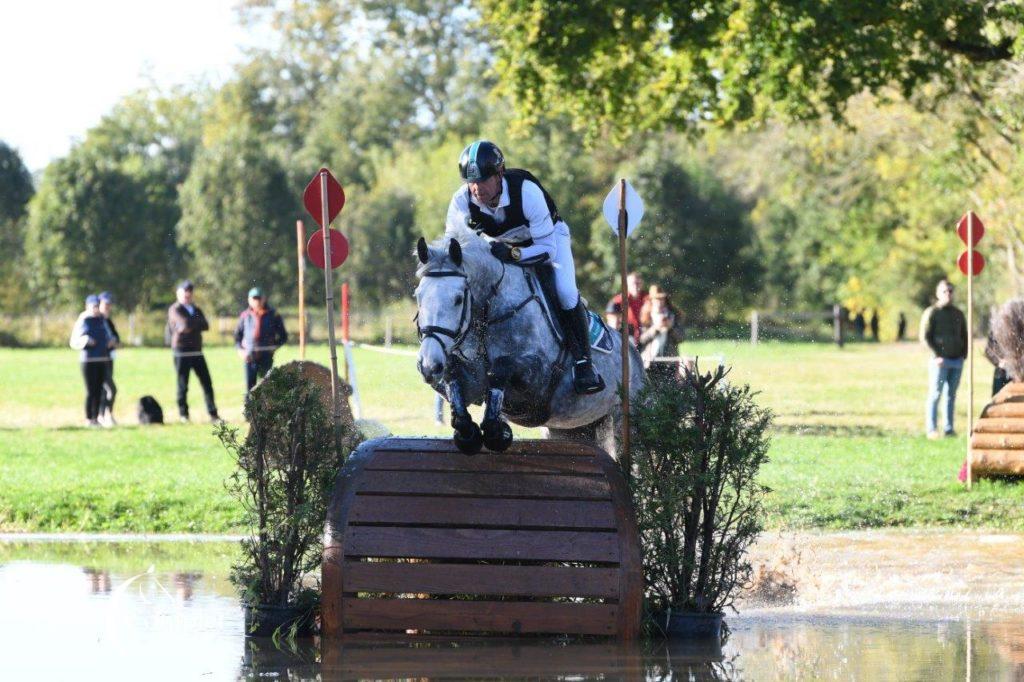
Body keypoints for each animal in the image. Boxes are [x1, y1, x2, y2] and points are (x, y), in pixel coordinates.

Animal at [413, 228, 638, 456]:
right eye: (418, 296)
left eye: (458, 299)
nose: (429, 365)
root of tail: (631, 350)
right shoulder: (471, 383)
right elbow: (455, 379)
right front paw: (467, 432)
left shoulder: (538, 376)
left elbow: (500, 370)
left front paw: (496, 432)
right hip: (570, 429)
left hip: (624, 419)